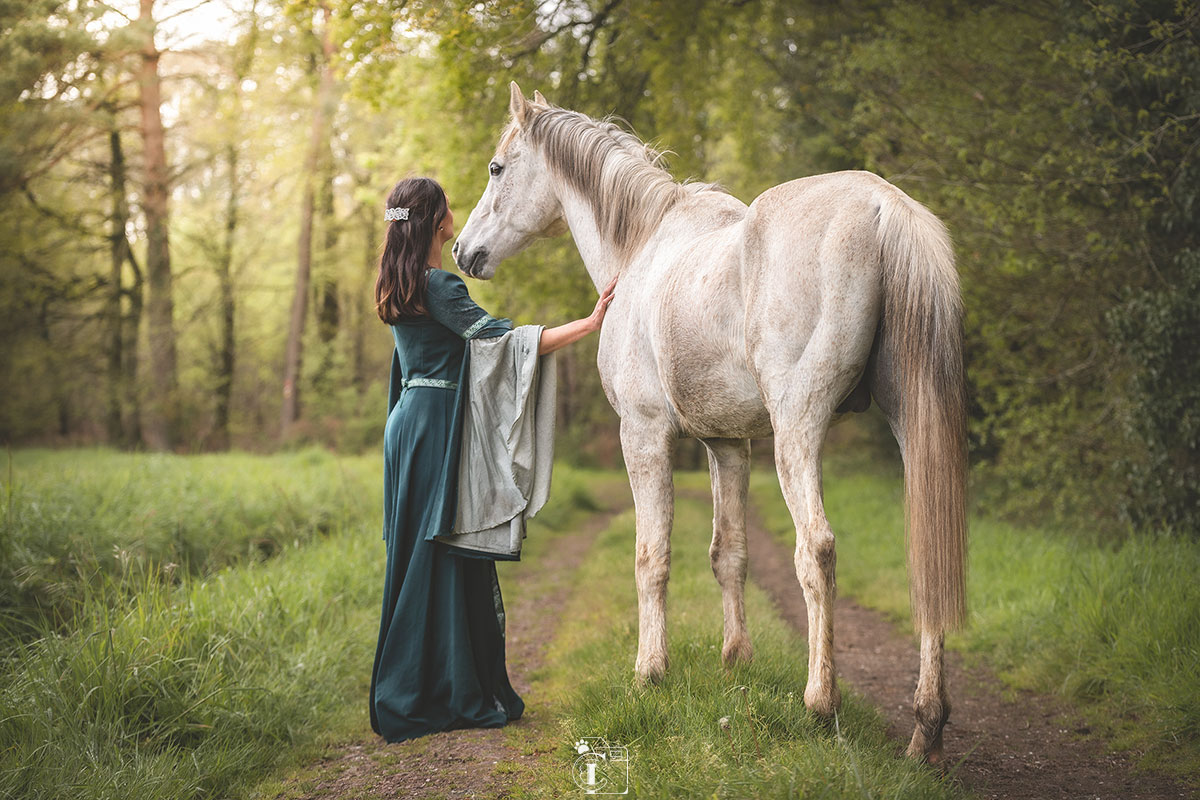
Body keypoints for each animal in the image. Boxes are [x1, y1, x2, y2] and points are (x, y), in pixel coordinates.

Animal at [453, 82, 969, 762]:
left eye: (497, 167)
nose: (463, 252)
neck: (640, 249)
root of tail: (885, 208)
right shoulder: (728, 446)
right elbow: (730, 554)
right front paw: (736, 660)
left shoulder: (645, 435)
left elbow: (652, 557)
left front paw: (650, 672)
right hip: (910, 428)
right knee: (925, 555)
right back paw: (925, 727)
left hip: (798, 428)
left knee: (817, 550)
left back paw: (820, 704)